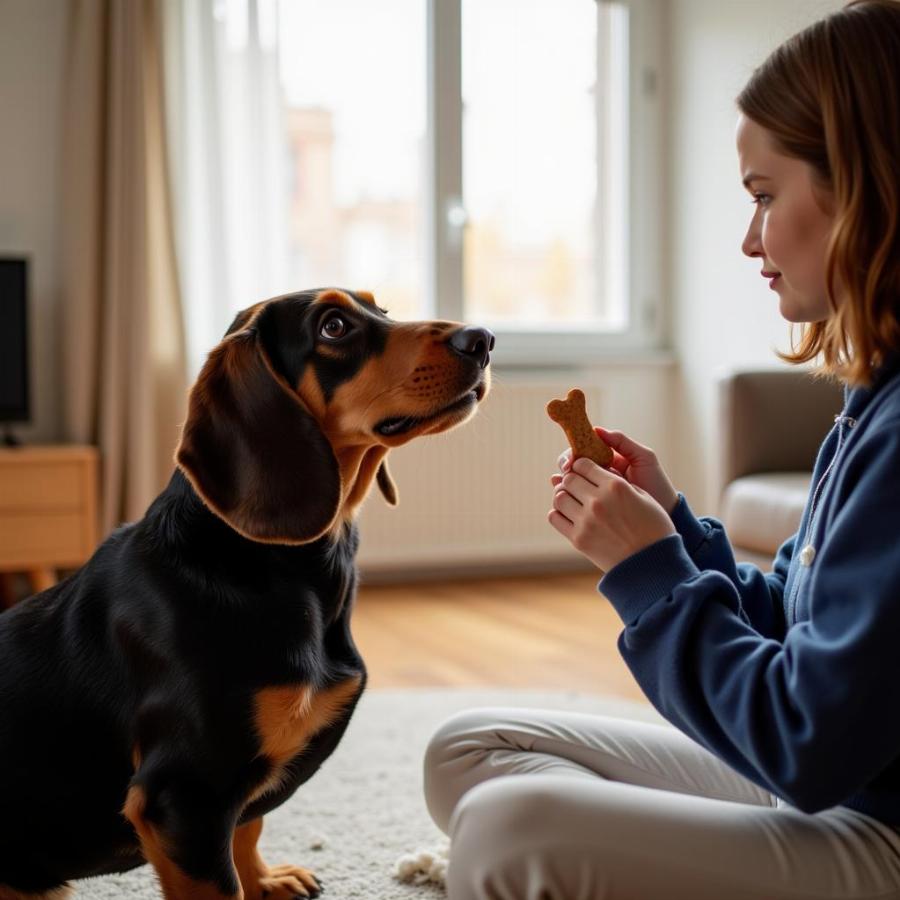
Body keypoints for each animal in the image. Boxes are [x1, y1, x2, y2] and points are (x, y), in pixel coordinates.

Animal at [0, 290, 492, 900]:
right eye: (334, 326)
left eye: (379, 309)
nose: (482, 340)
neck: (267, 560)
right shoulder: (184, 796)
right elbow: (221, 875)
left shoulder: (221, 799)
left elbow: (249, 824)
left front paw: (265, 878)